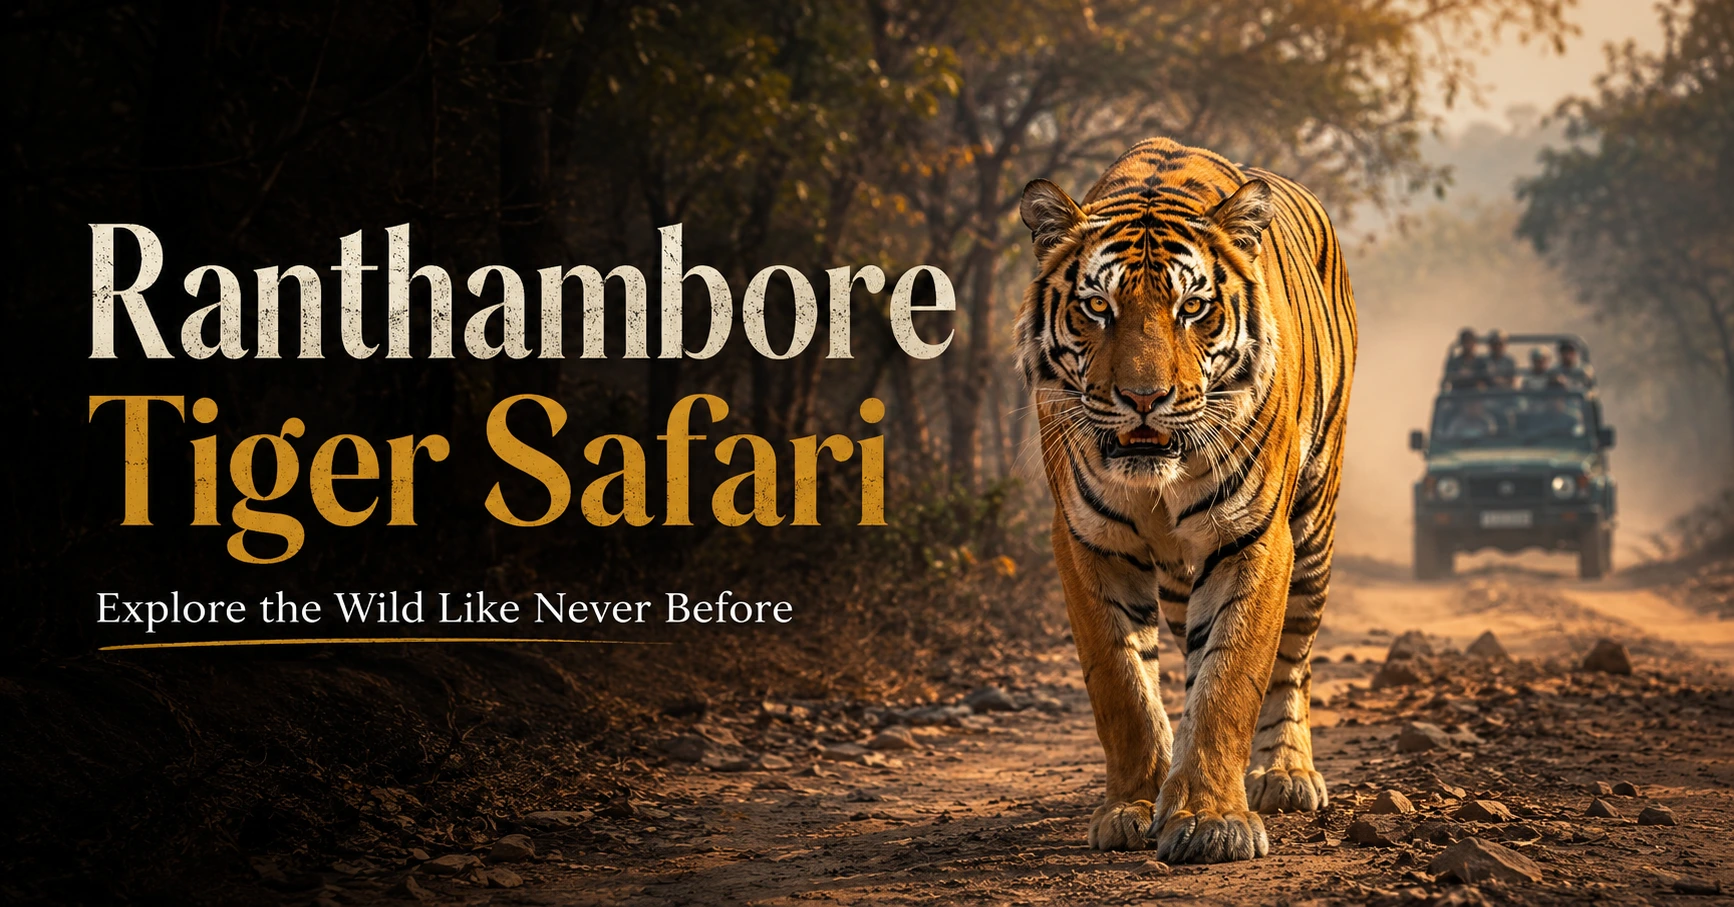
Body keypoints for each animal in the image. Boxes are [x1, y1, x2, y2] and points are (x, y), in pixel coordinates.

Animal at [1015, 137, 1356, 864]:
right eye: (1097, 308)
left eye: (1192, 309)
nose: (1144, 398)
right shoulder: (1087, 539)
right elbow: (1123, 684)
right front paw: (1132, 807)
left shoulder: (1254, 534)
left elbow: (1231, 677)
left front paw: (1210, 821)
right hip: (1176, 575)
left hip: (1314, 523)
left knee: (1293, 657)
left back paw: (1284, 773)